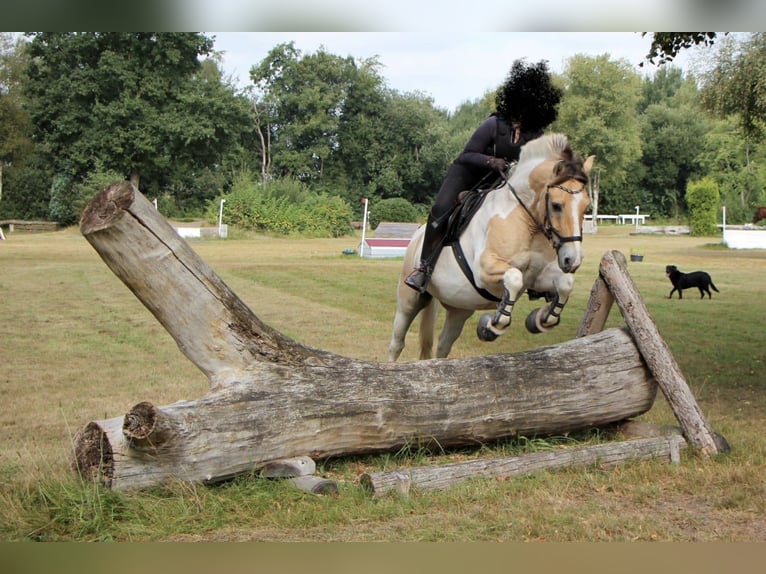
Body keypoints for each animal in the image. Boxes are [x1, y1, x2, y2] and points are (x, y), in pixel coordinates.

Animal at [387, 133, 595, 361]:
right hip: (409, 299)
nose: (572, 260)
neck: (525, 219)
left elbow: (565, 283)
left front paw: (540, 318)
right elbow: (514, 277)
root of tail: (417, 237)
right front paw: (490, 326)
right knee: (397, 343)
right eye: (557, 205)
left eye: (586, 207)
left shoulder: (536, 278)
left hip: (459, 308)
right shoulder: (485, 271)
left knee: (443, 345)